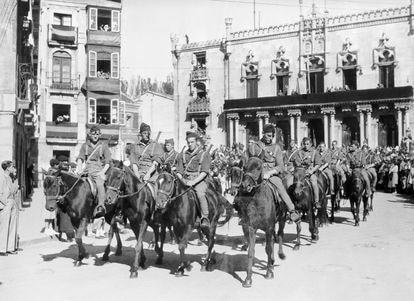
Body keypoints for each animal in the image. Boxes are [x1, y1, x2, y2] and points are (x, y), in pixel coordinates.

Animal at [231, 156, 286, 288]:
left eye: (259, 167)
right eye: (245, 167)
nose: (245, 185)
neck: (258, 201)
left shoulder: (269, 227)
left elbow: (269, 248)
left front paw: (269, 272)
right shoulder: (251, 228)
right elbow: (251, 251)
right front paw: (248, 279)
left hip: (281, 220)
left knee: (279, 236)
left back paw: (280, 255)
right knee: (272, 240)